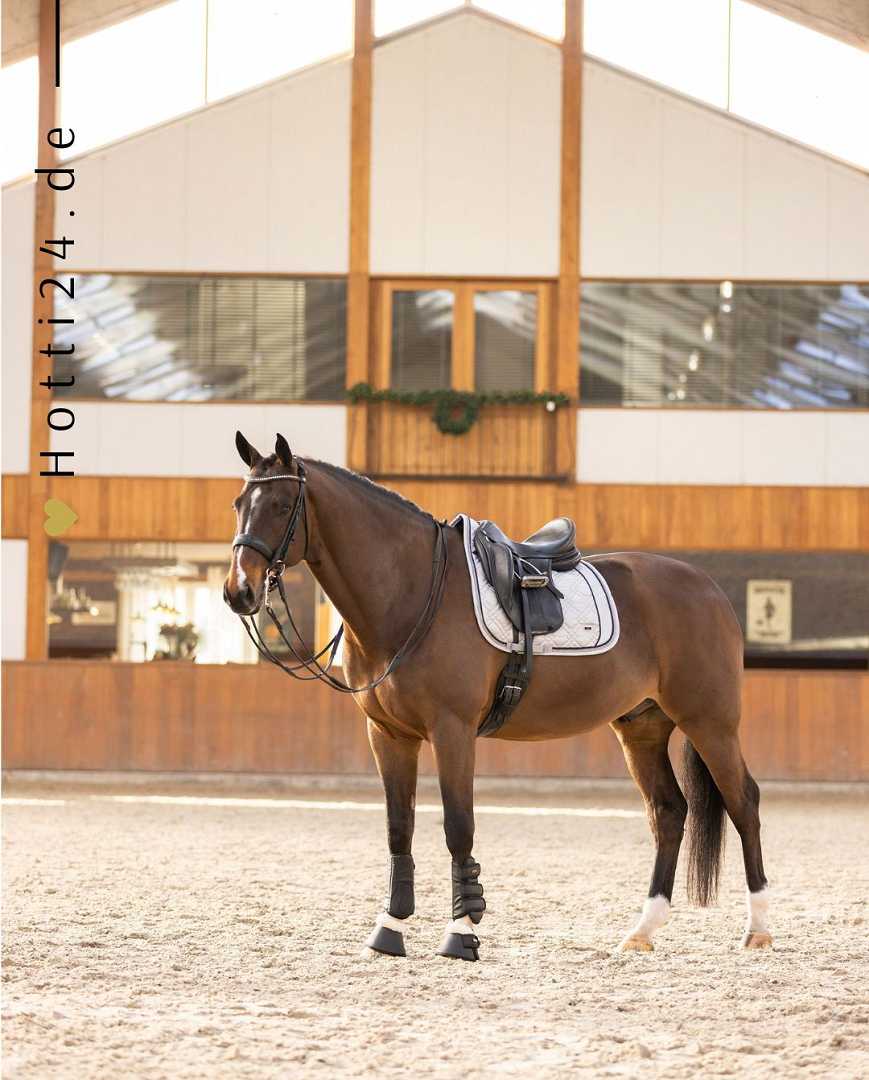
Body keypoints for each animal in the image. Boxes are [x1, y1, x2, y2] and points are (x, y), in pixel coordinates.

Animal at [224, 432, 771, 962]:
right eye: (238, 504)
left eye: (281, 506)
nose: (238, 592)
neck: (411, 592)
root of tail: (709, 589)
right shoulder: (388, 735)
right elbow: (399, 828)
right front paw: (389, 929)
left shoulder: (452, 731)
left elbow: (457, 826)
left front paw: (461, 933)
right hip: (643, 728)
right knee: (669, 813)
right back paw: (642, 931)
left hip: (710, 723)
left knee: (743, 802)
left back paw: (758, 930)